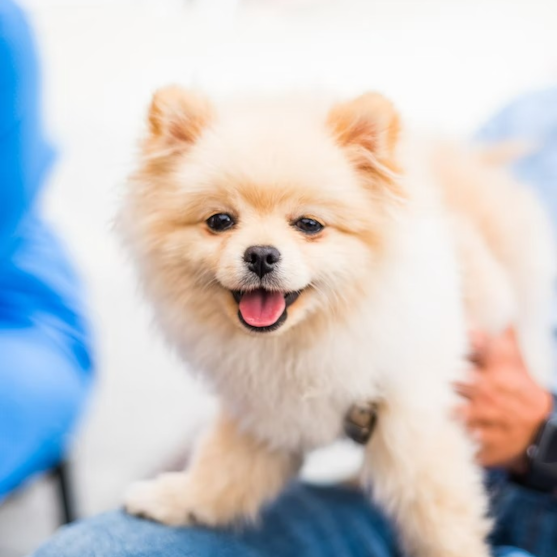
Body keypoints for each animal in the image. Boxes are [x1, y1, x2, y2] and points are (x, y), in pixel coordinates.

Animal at [120, 88, 552, 556]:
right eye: (220, 221)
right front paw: (177, 498)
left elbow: (439, 520)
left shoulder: (413, 421)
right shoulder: (266, 411)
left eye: (310, 225)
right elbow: (225, 470)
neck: (303, 339)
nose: (261, 254)